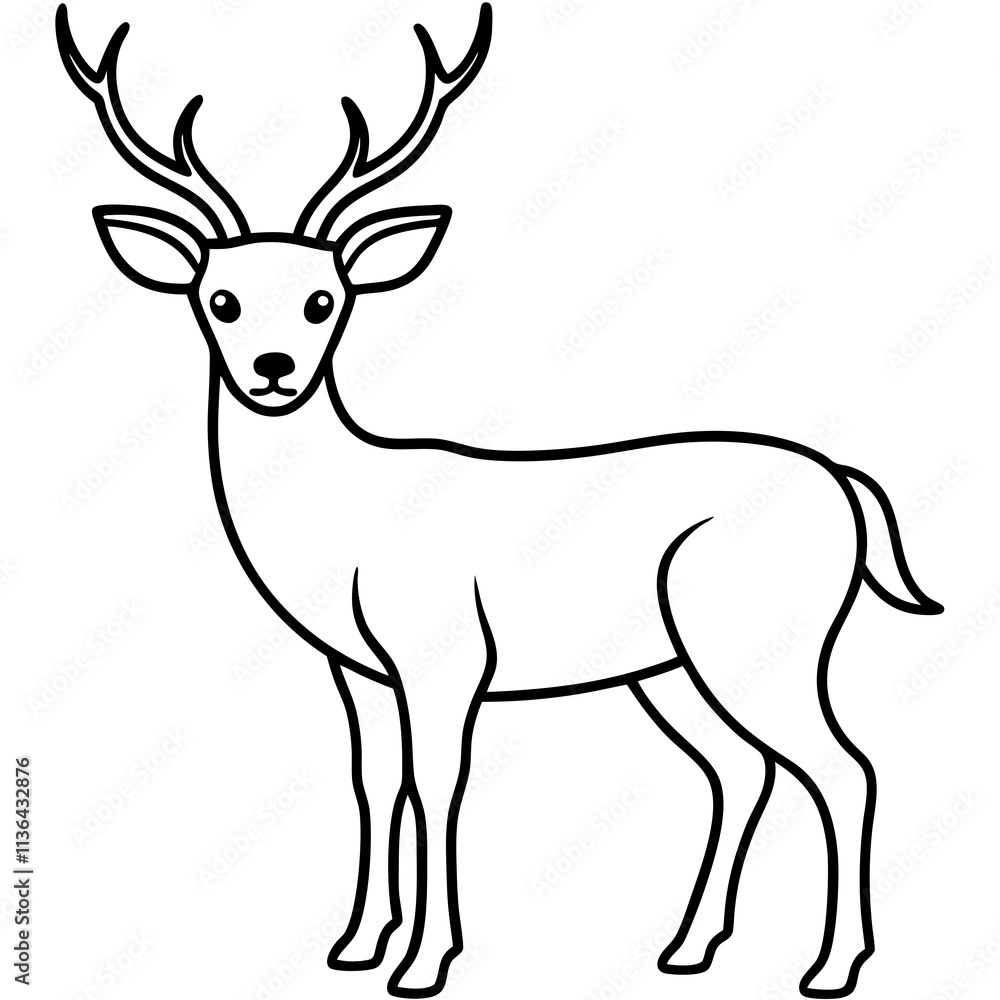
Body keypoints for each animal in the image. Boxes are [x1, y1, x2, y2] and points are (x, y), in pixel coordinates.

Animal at [56, 4, 942, 997]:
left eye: (326, 299)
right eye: (220, 300)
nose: (272, 371)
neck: (342, 520)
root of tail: (846, 484)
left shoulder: (443, 658)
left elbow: (437, 785)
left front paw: (424, 961)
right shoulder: (359, 671)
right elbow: (374, 782)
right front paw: (356, 944)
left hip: (763, 637)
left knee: (845, 767)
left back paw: (833, 966)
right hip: (671, 667)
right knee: (741, 769)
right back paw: (687, 948)